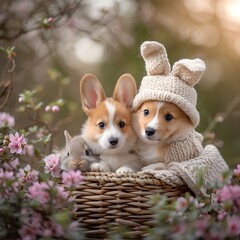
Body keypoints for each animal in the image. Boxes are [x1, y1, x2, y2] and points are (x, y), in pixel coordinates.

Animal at [132, 40, 205, 171]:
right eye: (146, 112)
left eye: (169, 117)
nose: (149, 131)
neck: (155, 145)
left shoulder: (186, 158)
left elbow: (165, 164)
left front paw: (148, 168)